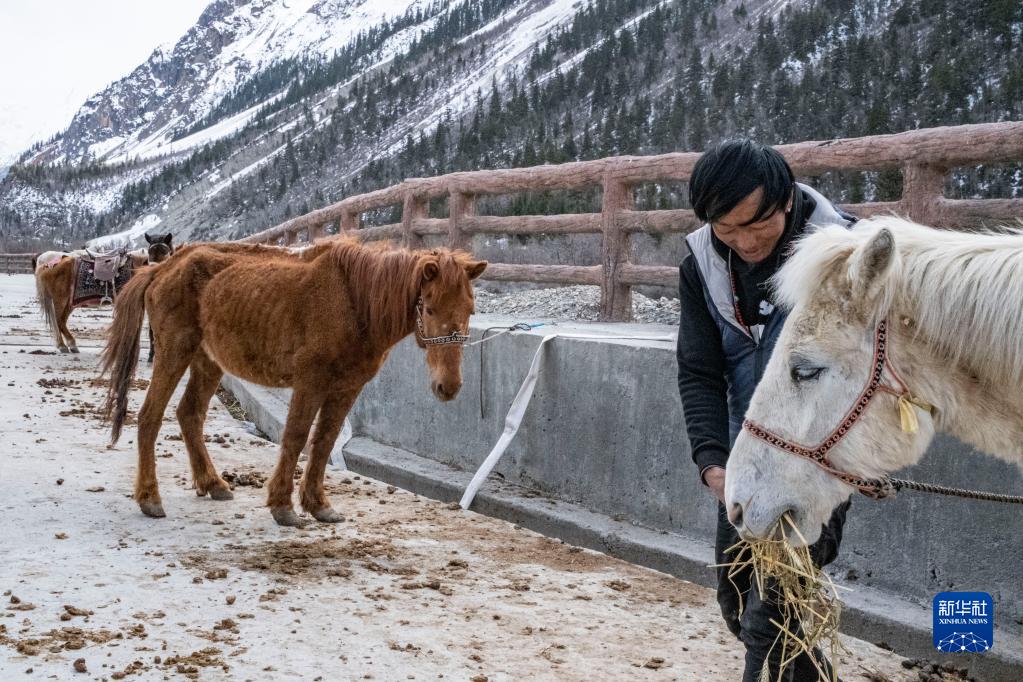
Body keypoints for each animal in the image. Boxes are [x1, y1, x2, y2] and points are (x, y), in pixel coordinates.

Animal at [35, 233, 174, 355]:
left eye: (165, 252)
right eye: (150, 252)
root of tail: (47, 265)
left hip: (69, 302)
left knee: (60, 322)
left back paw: (67, 345)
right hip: (60, 300)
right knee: (59, 321)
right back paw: (66, 345)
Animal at [101, 239, 484, 527]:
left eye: (470, 310)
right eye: (429, 309)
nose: (448, 386)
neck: (352, 301)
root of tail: (162, 268)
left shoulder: (347, 388)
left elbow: (325, 441)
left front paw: (319, 505)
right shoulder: (310, 381)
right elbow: (297, 436)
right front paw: (283, 507)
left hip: (207, 360)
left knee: (189, 415)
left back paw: (213, 483)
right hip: (175, 352)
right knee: (150, 417)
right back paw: (150, 498)